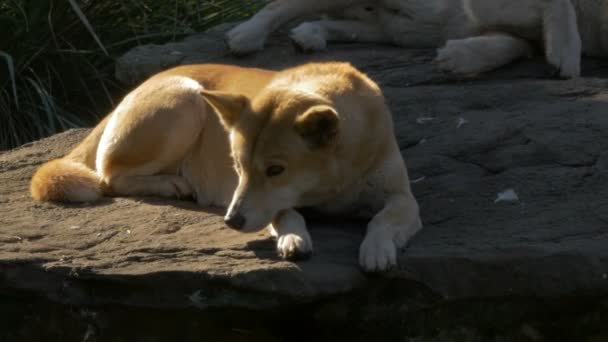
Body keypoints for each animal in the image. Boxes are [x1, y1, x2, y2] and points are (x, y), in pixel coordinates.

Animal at [30, 62, 422, 272]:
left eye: (275, 170)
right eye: (238, 166)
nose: (231, 221)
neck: (332, 181)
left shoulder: (403, 198)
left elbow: (383, 219)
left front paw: (377, 249)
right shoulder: (266, 202)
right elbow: (287, 213)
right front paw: (294, 237)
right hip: (186, 99)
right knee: (109, 175)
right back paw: (172, 184)